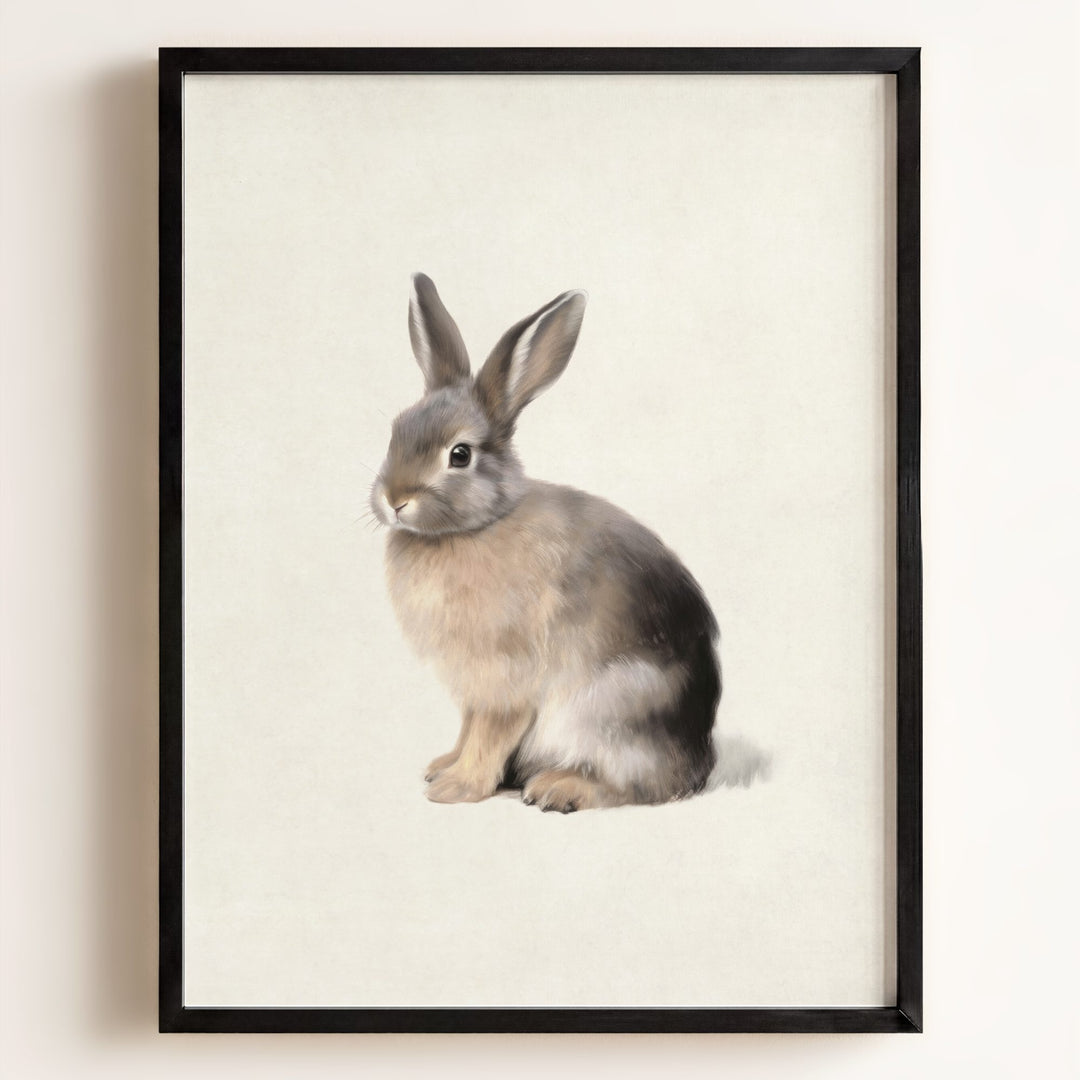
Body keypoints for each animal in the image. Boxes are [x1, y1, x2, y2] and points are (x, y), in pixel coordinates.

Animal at [369, 274, 721, 812]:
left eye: (459, 454)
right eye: (396, 431)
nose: (394, 500)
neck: (476, 527)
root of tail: (700, 759)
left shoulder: (506, 678)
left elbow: (490, 732)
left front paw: (456, 788)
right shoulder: (474, 688)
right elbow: (468, 728)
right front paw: (442, 767)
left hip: (608, 709)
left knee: (639, 786)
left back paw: (559, 788)